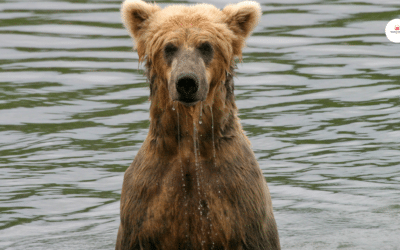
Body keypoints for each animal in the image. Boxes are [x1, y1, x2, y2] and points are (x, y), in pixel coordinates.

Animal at [115, 0, 280, 249]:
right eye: (170, 47)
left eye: (206, 46)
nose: (186, 82)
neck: (190, 146)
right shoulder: (144, 206)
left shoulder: (240, 202)